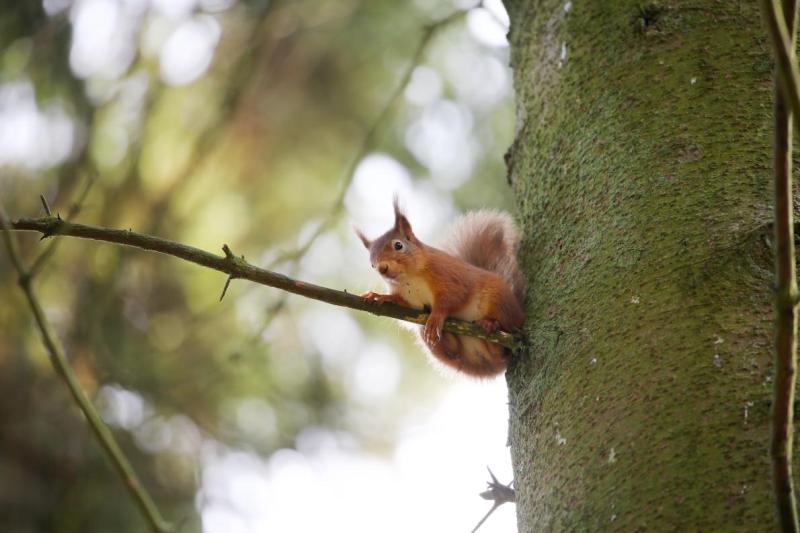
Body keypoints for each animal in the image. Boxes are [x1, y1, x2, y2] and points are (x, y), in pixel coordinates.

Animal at [356, 197, 524, 376]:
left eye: (398, 245)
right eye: (372, 264)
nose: (382, 268)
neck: (410, 278)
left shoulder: (449, 276)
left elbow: (452, 298)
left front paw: (436, 316)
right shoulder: (410, 298)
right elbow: (403, 302)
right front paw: (379, 296)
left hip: (498, 301)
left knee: (506, 339)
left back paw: (490, 325)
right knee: (459, 352)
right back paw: (448, 337)